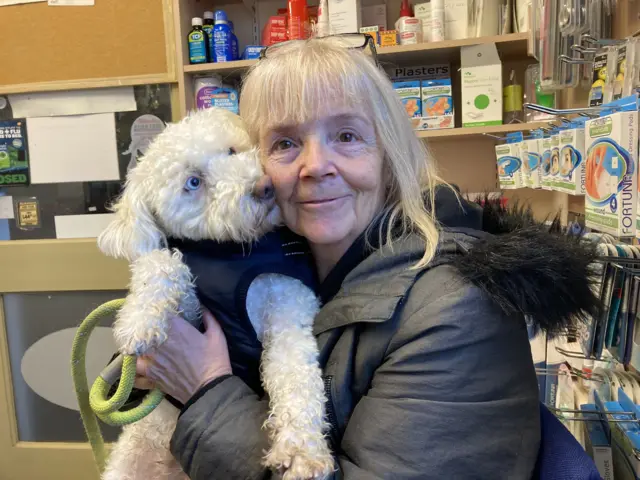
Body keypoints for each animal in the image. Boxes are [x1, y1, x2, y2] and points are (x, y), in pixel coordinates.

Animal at [96, 107, 336, 480]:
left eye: (232, 151)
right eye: (193, 182)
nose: (264, 187)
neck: (234, 252)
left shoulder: (287, 308)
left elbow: (296, 376)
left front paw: (301, 450)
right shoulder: (191, 309)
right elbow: (162, 262)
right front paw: (139, 319)